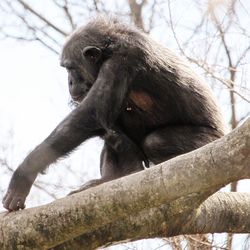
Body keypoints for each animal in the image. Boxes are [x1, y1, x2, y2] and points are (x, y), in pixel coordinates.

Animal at [2, 16, 225, 211]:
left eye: (70, 67)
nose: (70, 82)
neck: (109, 49)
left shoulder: (122, 61)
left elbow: (91, 113)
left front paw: (25, 173)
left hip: (210, 142)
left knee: (155, 141)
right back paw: (115, 177)